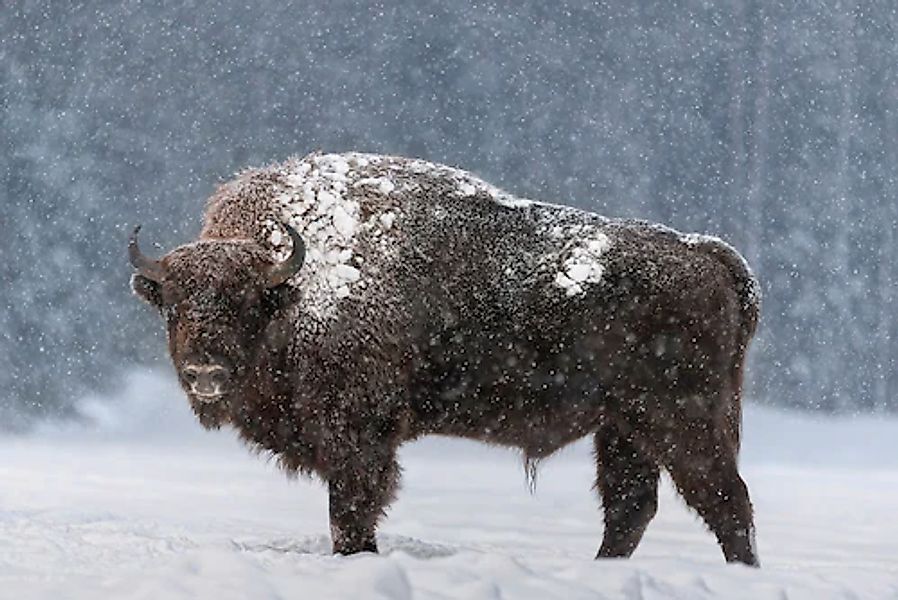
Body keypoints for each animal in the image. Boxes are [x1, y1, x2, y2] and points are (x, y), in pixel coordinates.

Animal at [130, 152, 760, 564]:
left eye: (245, 301)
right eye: (174, 304)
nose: (206, 373)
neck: (296, 285)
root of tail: (706, 253)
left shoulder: (359, 440)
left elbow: (351, 514)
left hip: (681, 420)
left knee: (725, 502)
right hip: (624, 428)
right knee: (631, 509)